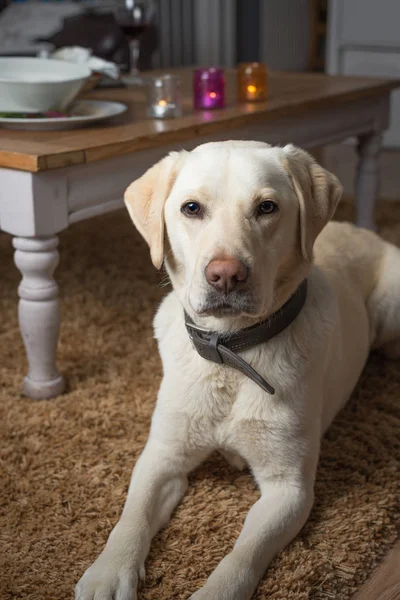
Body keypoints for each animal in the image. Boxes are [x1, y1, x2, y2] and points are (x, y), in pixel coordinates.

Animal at [76, 142, 400, 600]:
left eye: (267, 207)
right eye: (191, 208)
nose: (226, 275)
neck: (231, 353)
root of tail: (363, 229)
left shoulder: (289, 488)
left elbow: (244, 553)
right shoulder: (162, 456)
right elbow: (131, 516)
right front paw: (108, 571)